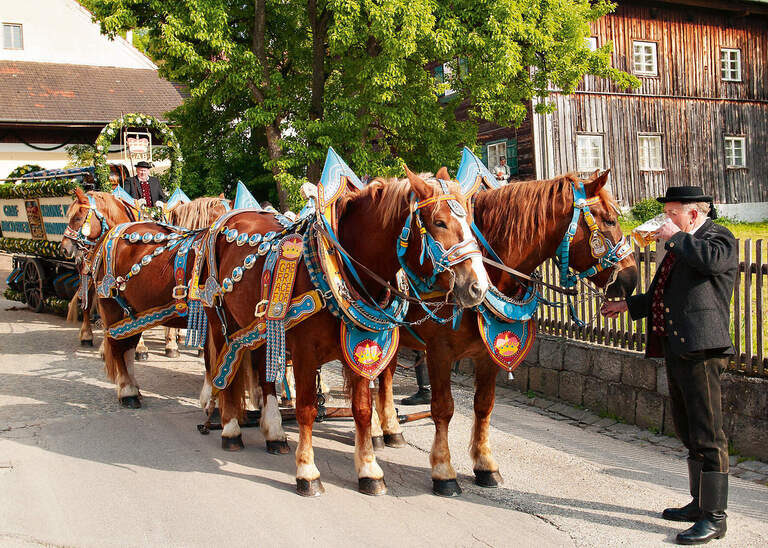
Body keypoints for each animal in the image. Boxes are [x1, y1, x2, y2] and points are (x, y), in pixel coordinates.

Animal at [204, 169, 488, 498]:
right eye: (439, 222)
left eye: (471, 220)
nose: (478, 287)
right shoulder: (304, 352)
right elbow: (306, 409)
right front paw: (307, 472)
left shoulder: (362, 347)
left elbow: (363, 409)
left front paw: (369, 470)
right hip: (220, 320)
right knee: (224, 371)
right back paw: (230, 429)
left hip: (264, 328)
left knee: (264, 377)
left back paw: (274, 433)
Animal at [372, 171, 640, 496]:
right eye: (610, 220)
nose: (632, 278)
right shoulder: (439, 353)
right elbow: (443, 409)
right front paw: (444, 472)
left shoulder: (487, 354)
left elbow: (484, 405)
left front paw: (486, 466)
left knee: (384, 379)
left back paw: (391, 430)